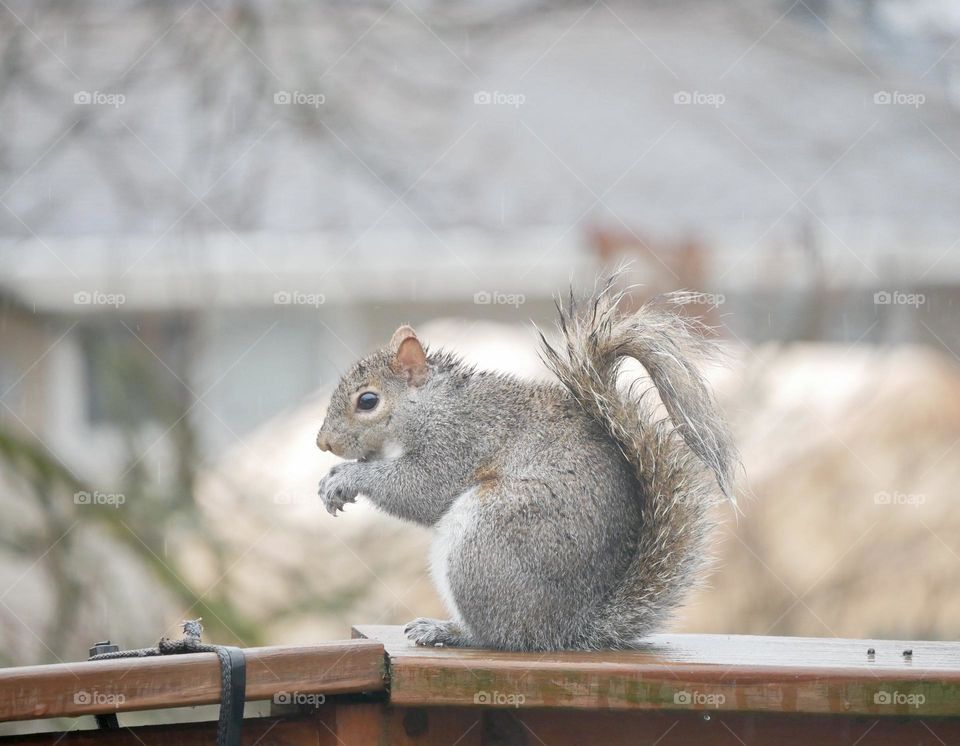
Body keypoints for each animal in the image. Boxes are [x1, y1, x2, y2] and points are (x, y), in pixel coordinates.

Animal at [316, 276, 736, 648]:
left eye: (367, 401)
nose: (323, 443)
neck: (431, 404)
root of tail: (569, 628)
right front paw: (332, 477)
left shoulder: (459, 440)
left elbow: (421, 490)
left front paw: (347, 478)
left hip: (487, 538)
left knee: (502, 635)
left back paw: (450, 631)